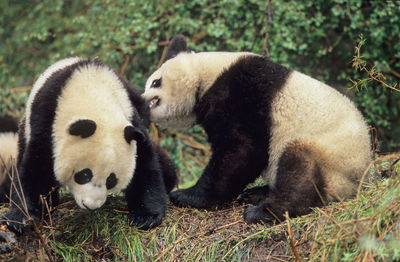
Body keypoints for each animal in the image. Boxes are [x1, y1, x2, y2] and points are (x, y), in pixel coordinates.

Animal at [2, 57, 176, 233]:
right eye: (84, 174)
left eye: (111, 180)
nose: (91, 206)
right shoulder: (48, 119)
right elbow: (36, 167)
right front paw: (22, 218)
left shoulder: (132, 119)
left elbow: (144, 164)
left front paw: (146, 216)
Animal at [143, 34, 372, 223]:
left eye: (155, 82)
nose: (141, 100)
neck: (207, 75)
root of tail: (361, 180)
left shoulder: (243, 93)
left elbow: (240, 151)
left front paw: (186, 195)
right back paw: (256, 193)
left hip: (331, 156)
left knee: (301, 173)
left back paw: (263, 211)